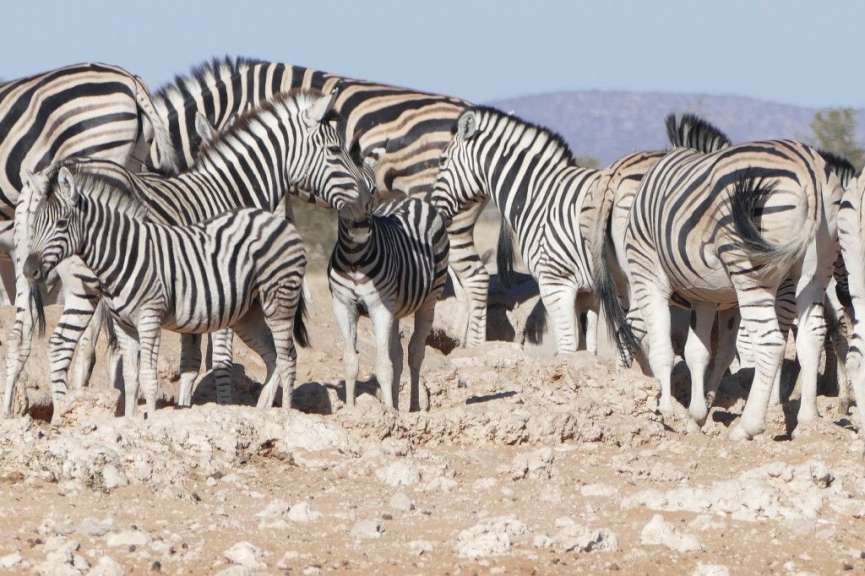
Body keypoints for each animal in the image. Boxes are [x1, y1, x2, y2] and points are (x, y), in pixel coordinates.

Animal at [21, 167, 308, 416]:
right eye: (34, 223)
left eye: (61, 223)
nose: (28, 270)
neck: (123, 253)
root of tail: (276, 220)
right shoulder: (124, 325)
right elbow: (130, 378)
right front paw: (130, 419)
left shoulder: (150, 318)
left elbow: (148, 376)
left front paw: (151, 420)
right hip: (248, 314)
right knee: (273, 357)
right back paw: (262, 413)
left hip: (279, 300)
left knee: (288, 358)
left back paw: (285, 415)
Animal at [329, 163, 449, 412]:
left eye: (373, 190)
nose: (361, 228)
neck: (354, 260)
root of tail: (412, 200)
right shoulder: (342, 304)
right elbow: (351, 361)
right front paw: (352, 409)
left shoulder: (380, 307)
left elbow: (383, 363)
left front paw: (389, 413)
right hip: (396, 308)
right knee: (398, 355)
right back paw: (394, 401)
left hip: (429, 299)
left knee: (415, 352)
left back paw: (413, 407)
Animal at [431, 106, 611, 354]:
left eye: (442, 160)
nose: (433, 206)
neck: (542, 196)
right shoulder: (588, 291)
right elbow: (588, 349)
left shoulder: (556, 281)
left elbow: (567, 346)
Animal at [595, 132, 841, 440]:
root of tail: (808, 167)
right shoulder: (708, 296)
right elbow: (700, 353)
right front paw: (696, 415)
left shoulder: (648, 274)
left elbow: (661, 346)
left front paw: (665, 410)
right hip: (815, 268)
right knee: (812, 334)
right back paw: (807, 421)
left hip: (751, 268)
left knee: (771, 341)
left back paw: (747, 426)